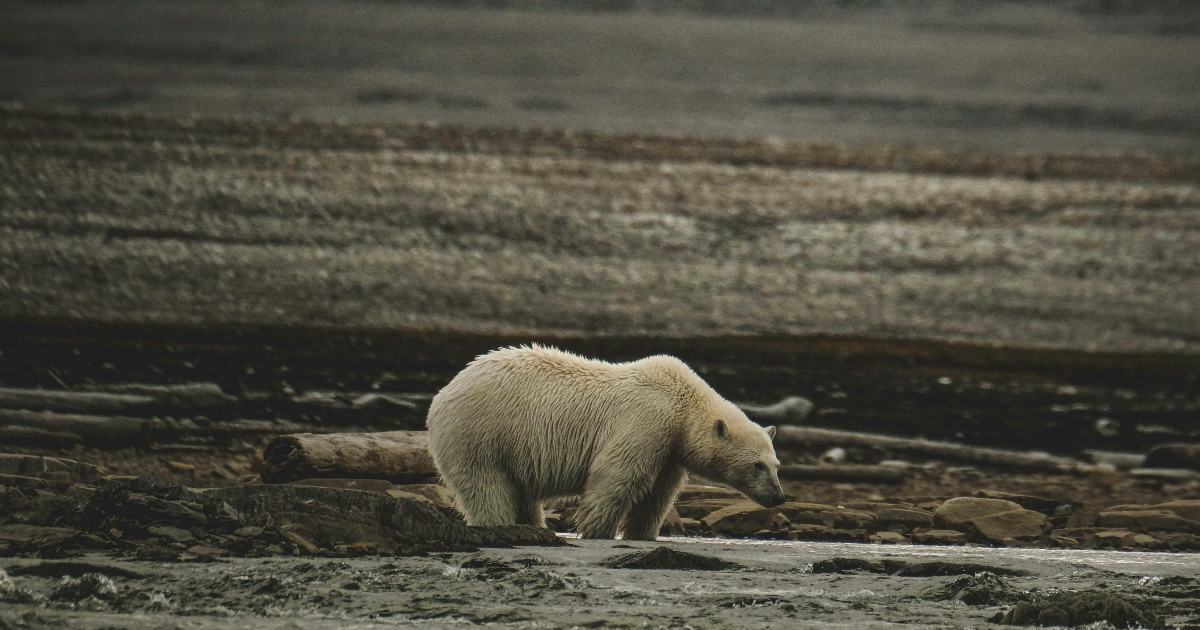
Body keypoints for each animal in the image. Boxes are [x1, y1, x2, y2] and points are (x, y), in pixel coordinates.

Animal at [426, 344, 784, 540]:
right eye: (757, 465)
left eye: (776, 465)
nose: (778, 497)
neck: (683, 404)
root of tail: (445, 392)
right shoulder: (647, 422)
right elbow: (617, 476)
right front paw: (597, 530)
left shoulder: (670, 450)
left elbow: (657, 494)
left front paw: (642, 533)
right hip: (481, 434)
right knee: (487, 486)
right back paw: (501, 524)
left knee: (521, 494)